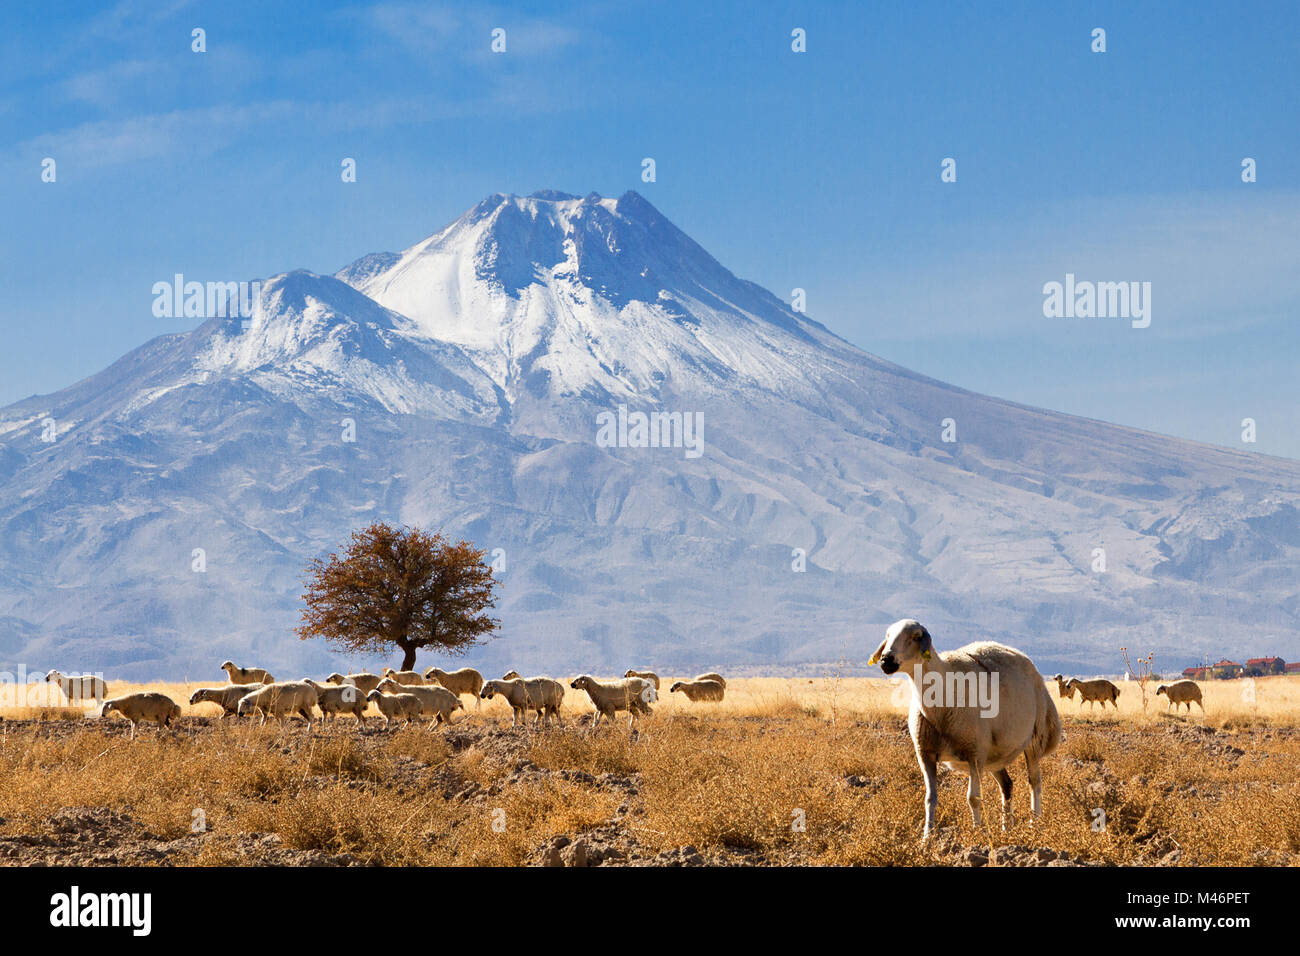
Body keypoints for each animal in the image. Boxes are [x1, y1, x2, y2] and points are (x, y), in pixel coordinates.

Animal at [868, 621, 1060, 837]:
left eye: (916, 636)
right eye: (887, 635)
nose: (886, 660)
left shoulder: (974, 754)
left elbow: (973, 798)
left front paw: (976, 833)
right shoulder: (925, 753)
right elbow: (930, 798)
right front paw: (927, 837)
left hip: (1035, 737)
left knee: (1035, 782)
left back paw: (1034, 824)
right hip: (993, 754)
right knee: (1007, 784)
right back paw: (1006, 828)